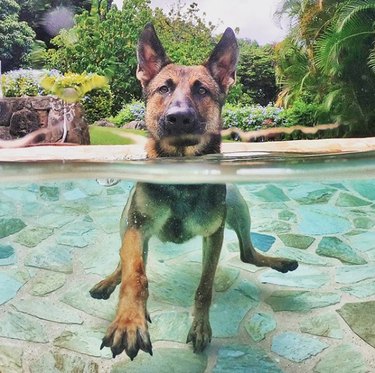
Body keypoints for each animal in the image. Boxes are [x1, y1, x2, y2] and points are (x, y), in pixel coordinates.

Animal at [89, 24, 298, 360]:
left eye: (202, 90)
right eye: (164, 89)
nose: (179, 117)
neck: (180, 175)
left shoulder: (214, 235)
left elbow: (205, 286)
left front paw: (200, 326)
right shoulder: (137, 226)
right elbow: (135, 275)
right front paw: (130, 320)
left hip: (238, 206)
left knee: (248, 253)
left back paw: (280, 262)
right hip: (127, 224)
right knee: (125, 260)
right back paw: (112, 282)